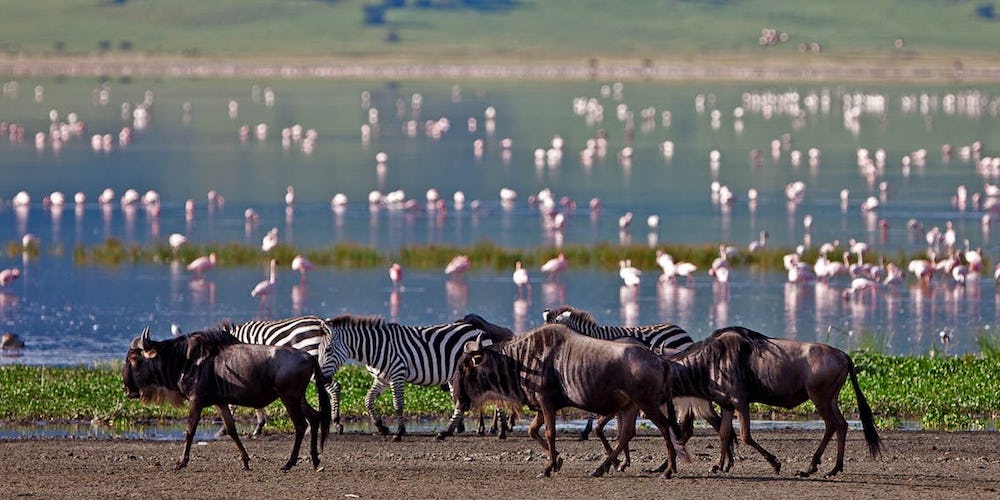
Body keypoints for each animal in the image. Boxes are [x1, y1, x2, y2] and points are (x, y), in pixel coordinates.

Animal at [215, 318, 352, 436]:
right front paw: (259, 426)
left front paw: (223, 430)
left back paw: (335, 422)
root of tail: (321, 322)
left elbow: (233, 402)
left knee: (334, 387)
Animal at [320, 312, 512, 442]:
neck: (375, 348)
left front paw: (399, 433)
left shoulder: (397, 374)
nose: (322, 378)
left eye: (327, 350)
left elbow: (398, 405)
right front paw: (382, 427)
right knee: (461, 404)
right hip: (455, 376)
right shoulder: (382, 379)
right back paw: (446, 432)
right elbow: (368, 400)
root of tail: (481, 331)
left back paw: (501, 432)